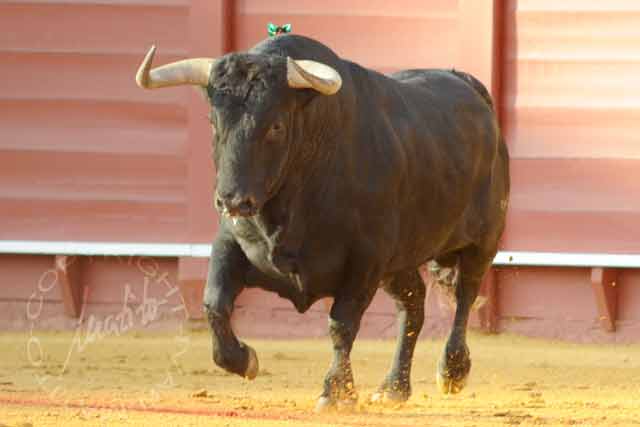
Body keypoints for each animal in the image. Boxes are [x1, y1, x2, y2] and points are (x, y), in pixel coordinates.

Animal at [136, 35, 510, 410]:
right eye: (214, 123)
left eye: (275, 126)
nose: (232, 200)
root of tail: (467, 84)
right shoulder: (230, 243)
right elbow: (214, 303)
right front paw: (244, 361)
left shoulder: (365, 261)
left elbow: (342, 324)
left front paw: (336, 392)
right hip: (399, 260)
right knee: (413, 303)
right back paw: (393, 387)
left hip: (483, 241)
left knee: (465, 295)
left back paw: (452, 370)